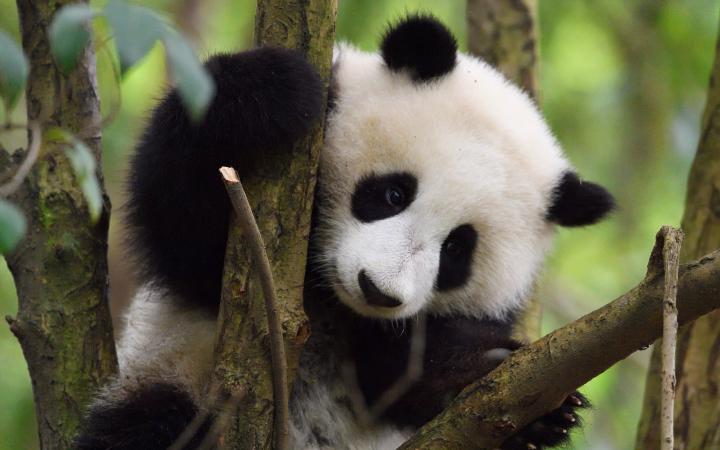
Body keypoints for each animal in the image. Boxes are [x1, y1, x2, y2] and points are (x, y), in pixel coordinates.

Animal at [76, 15, 614, 450]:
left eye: (458, 249)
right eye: (393, 193)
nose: (378, 291)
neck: (332, 303)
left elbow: (399, 376)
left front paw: (524, 398)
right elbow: (183, 225)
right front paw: (271, 89)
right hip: (175, 377)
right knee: (151, 425)